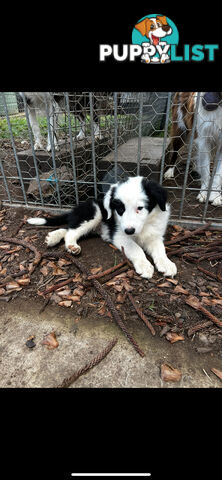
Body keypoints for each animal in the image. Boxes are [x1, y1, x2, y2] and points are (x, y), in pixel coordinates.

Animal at [27, 177, 177, 280]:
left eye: (140, 208)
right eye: (120, 209)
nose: (129, 231)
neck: (145, 225)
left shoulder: (155, 235)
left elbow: (160, 249)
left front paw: (166, 263)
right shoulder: (119, 235)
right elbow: (136, 248)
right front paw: (145, 265)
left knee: (68, 227)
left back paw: (53, 237)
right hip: (95, 212)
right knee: (71, 231)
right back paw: (71, 245)